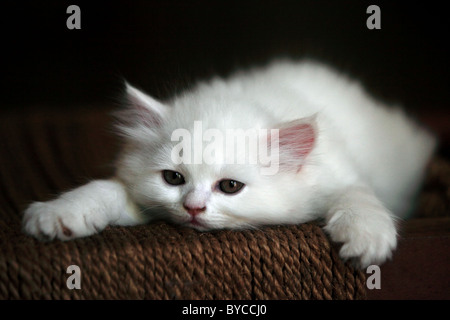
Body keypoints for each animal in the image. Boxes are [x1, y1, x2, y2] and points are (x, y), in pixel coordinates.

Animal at [22, 60, 434, 268]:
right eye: (173, 179)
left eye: (230, 187)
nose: (193, 208)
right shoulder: (137, 197)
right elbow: (101, 190)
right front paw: (58, 215)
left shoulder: (340, 176)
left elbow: (358, 197)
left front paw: (366, 239)